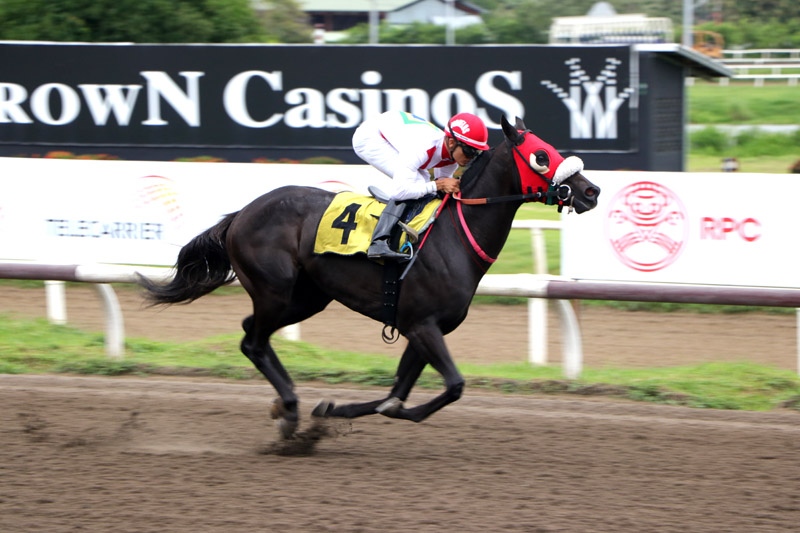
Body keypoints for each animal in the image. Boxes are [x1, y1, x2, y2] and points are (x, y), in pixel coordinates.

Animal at [139, 115, 600, 436]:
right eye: (542, 156)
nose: (591, 191)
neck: (454, 235)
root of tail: (240, 214)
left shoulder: (423, 328)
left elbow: (396, 394)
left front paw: (336, 410)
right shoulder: (423, 325)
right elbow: (452, 385)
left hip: (306, 297)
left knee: (252, 334)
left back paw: (288, 408)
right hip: (275, 290)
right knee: (253, 340)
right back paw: (289, 410)